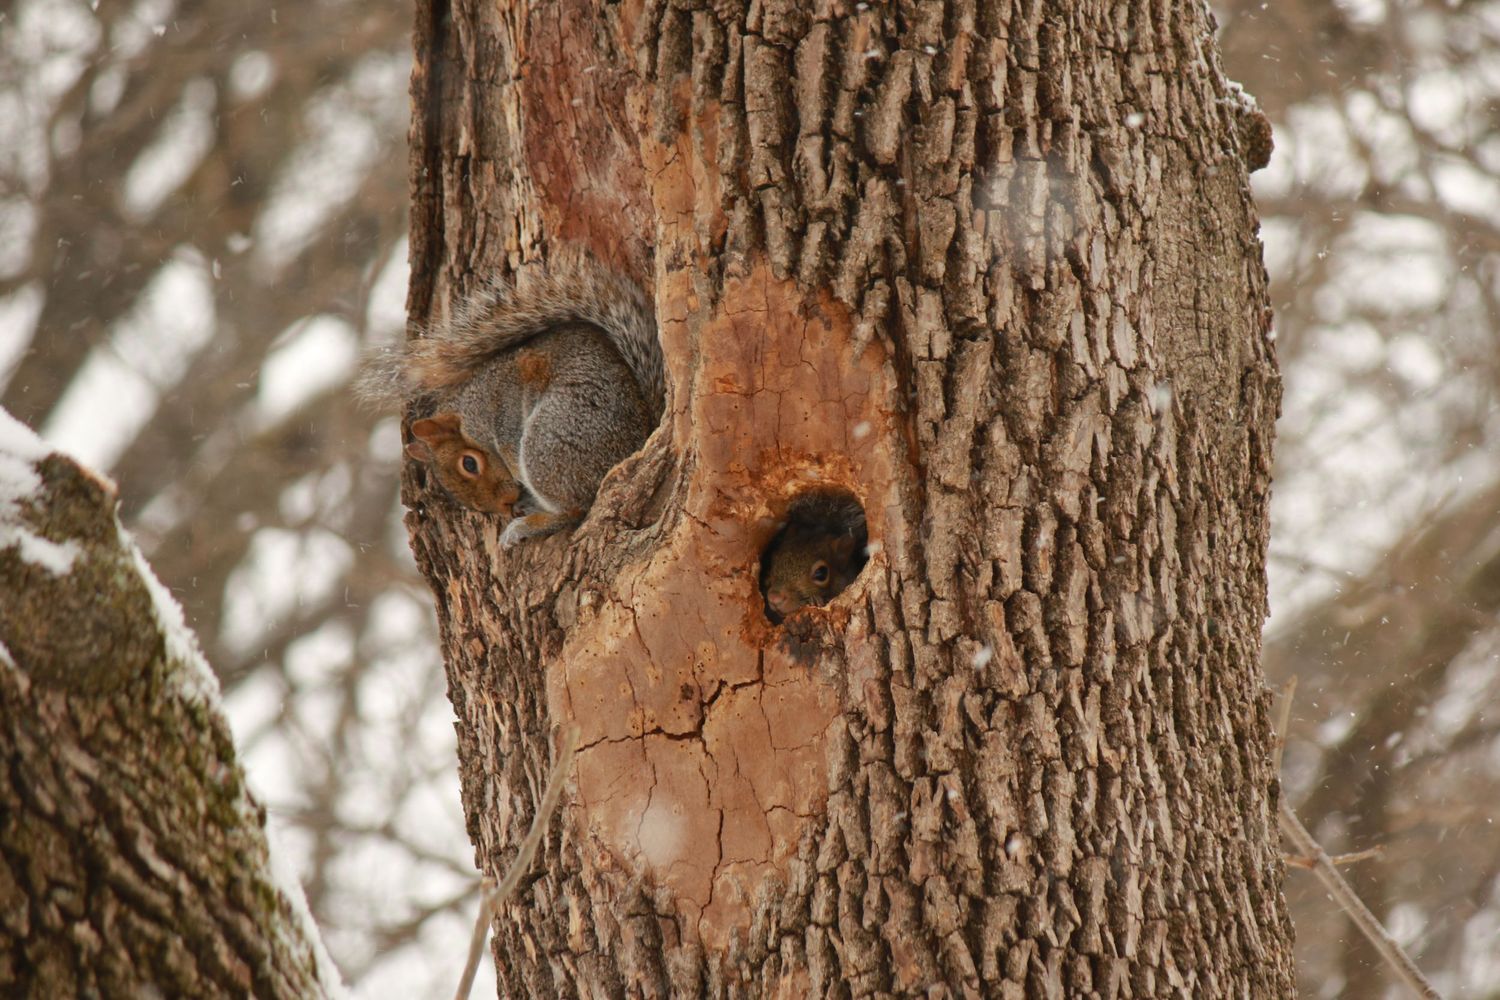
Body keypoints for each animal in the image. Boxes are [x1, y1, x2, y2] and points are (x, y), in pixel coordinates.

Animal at [358, 256, 665, 548]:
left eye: (469, 464)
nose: (505, 507)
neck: (467, 406)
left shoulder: (506, 399)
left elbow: (508, 436)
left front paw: (516, 473)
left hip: (552, 438)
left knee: (575, 509)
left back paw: (525, 525)